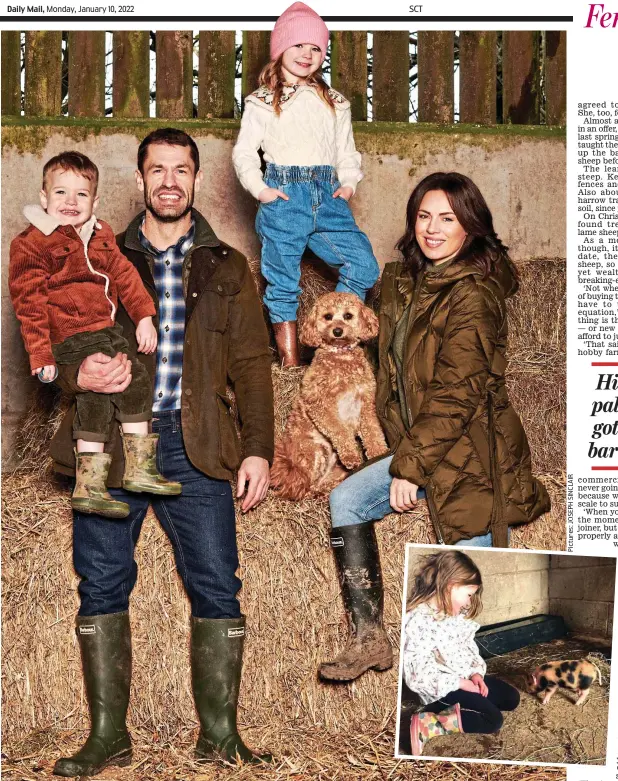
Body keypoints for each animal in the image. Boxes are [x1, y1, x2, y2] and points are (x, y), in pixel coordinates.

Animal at [270, 292, 384, 500]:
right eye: (328, 316)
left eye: (348, 316)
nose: (337, 331)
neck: (341, 357)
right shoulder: (319, 404)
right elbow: (339, 430)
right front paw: (351, 455)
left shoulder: (365, 402)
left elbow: (373, 432)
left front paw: (379, 453)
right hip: (314, 451)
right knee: (305, 486)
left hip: (333, 468)